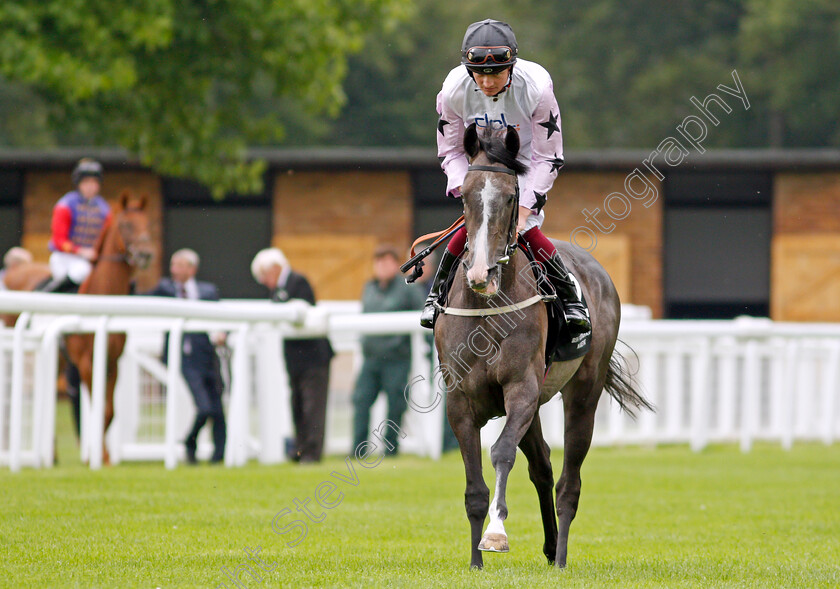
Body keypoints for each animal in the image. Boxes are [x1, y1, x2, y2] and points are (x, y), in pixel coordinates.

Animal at [436, 125, 652, 568]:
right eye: (465, 195)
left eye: (509, 196)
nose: (481, 273)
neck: (486, 307)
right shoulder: (460, 399)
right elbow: (474, 487)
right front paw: (475, 561)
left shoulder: (522, 387)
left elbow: (501, 452)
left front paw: (496, 535)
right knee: (543, 466)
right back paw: (551, 548)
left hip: (583, 391)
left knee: (569, 480)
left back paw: (562, 554)